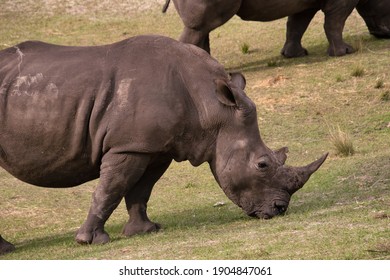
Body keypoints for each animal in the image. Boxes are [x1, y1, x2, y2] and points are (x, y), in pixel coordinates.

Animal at [1, 34, 328, 254]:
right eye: (262, 164)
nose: (279, 210)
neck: (212, 107)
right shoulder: (128, 145)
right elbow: (110, 189)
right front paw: (90, 242)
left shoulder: (154, 147)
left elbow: (140, 190)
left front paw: (144, 231)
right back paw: (9, 250)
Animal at [162, 0, 390, 57]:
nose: (384, 35)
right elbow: (335, 22)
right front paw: (345, 52)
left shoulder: (305, 4)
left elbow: (296, 25)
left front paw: (295, 55)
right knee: (200, 27)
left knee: (203, 29)